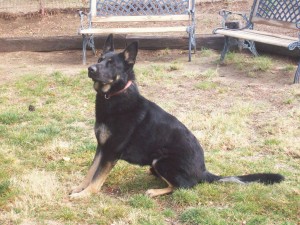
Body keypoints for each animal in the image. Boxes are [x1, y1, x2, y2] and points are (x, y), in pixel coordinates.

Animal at [69, 33, 284, 199]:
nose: (90, 69)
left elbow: (97, 179)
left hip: (162, 161)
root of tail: (204, 172)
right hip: (155, 164)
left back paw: (154, 191)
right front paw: (79, 188)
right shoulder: (102, 148)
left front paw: (84, 195)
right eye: (99, 60)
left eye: (112, 64)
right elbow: (90, 172)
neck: (114, 96)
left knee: (183, 187)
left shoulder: (111, 152)